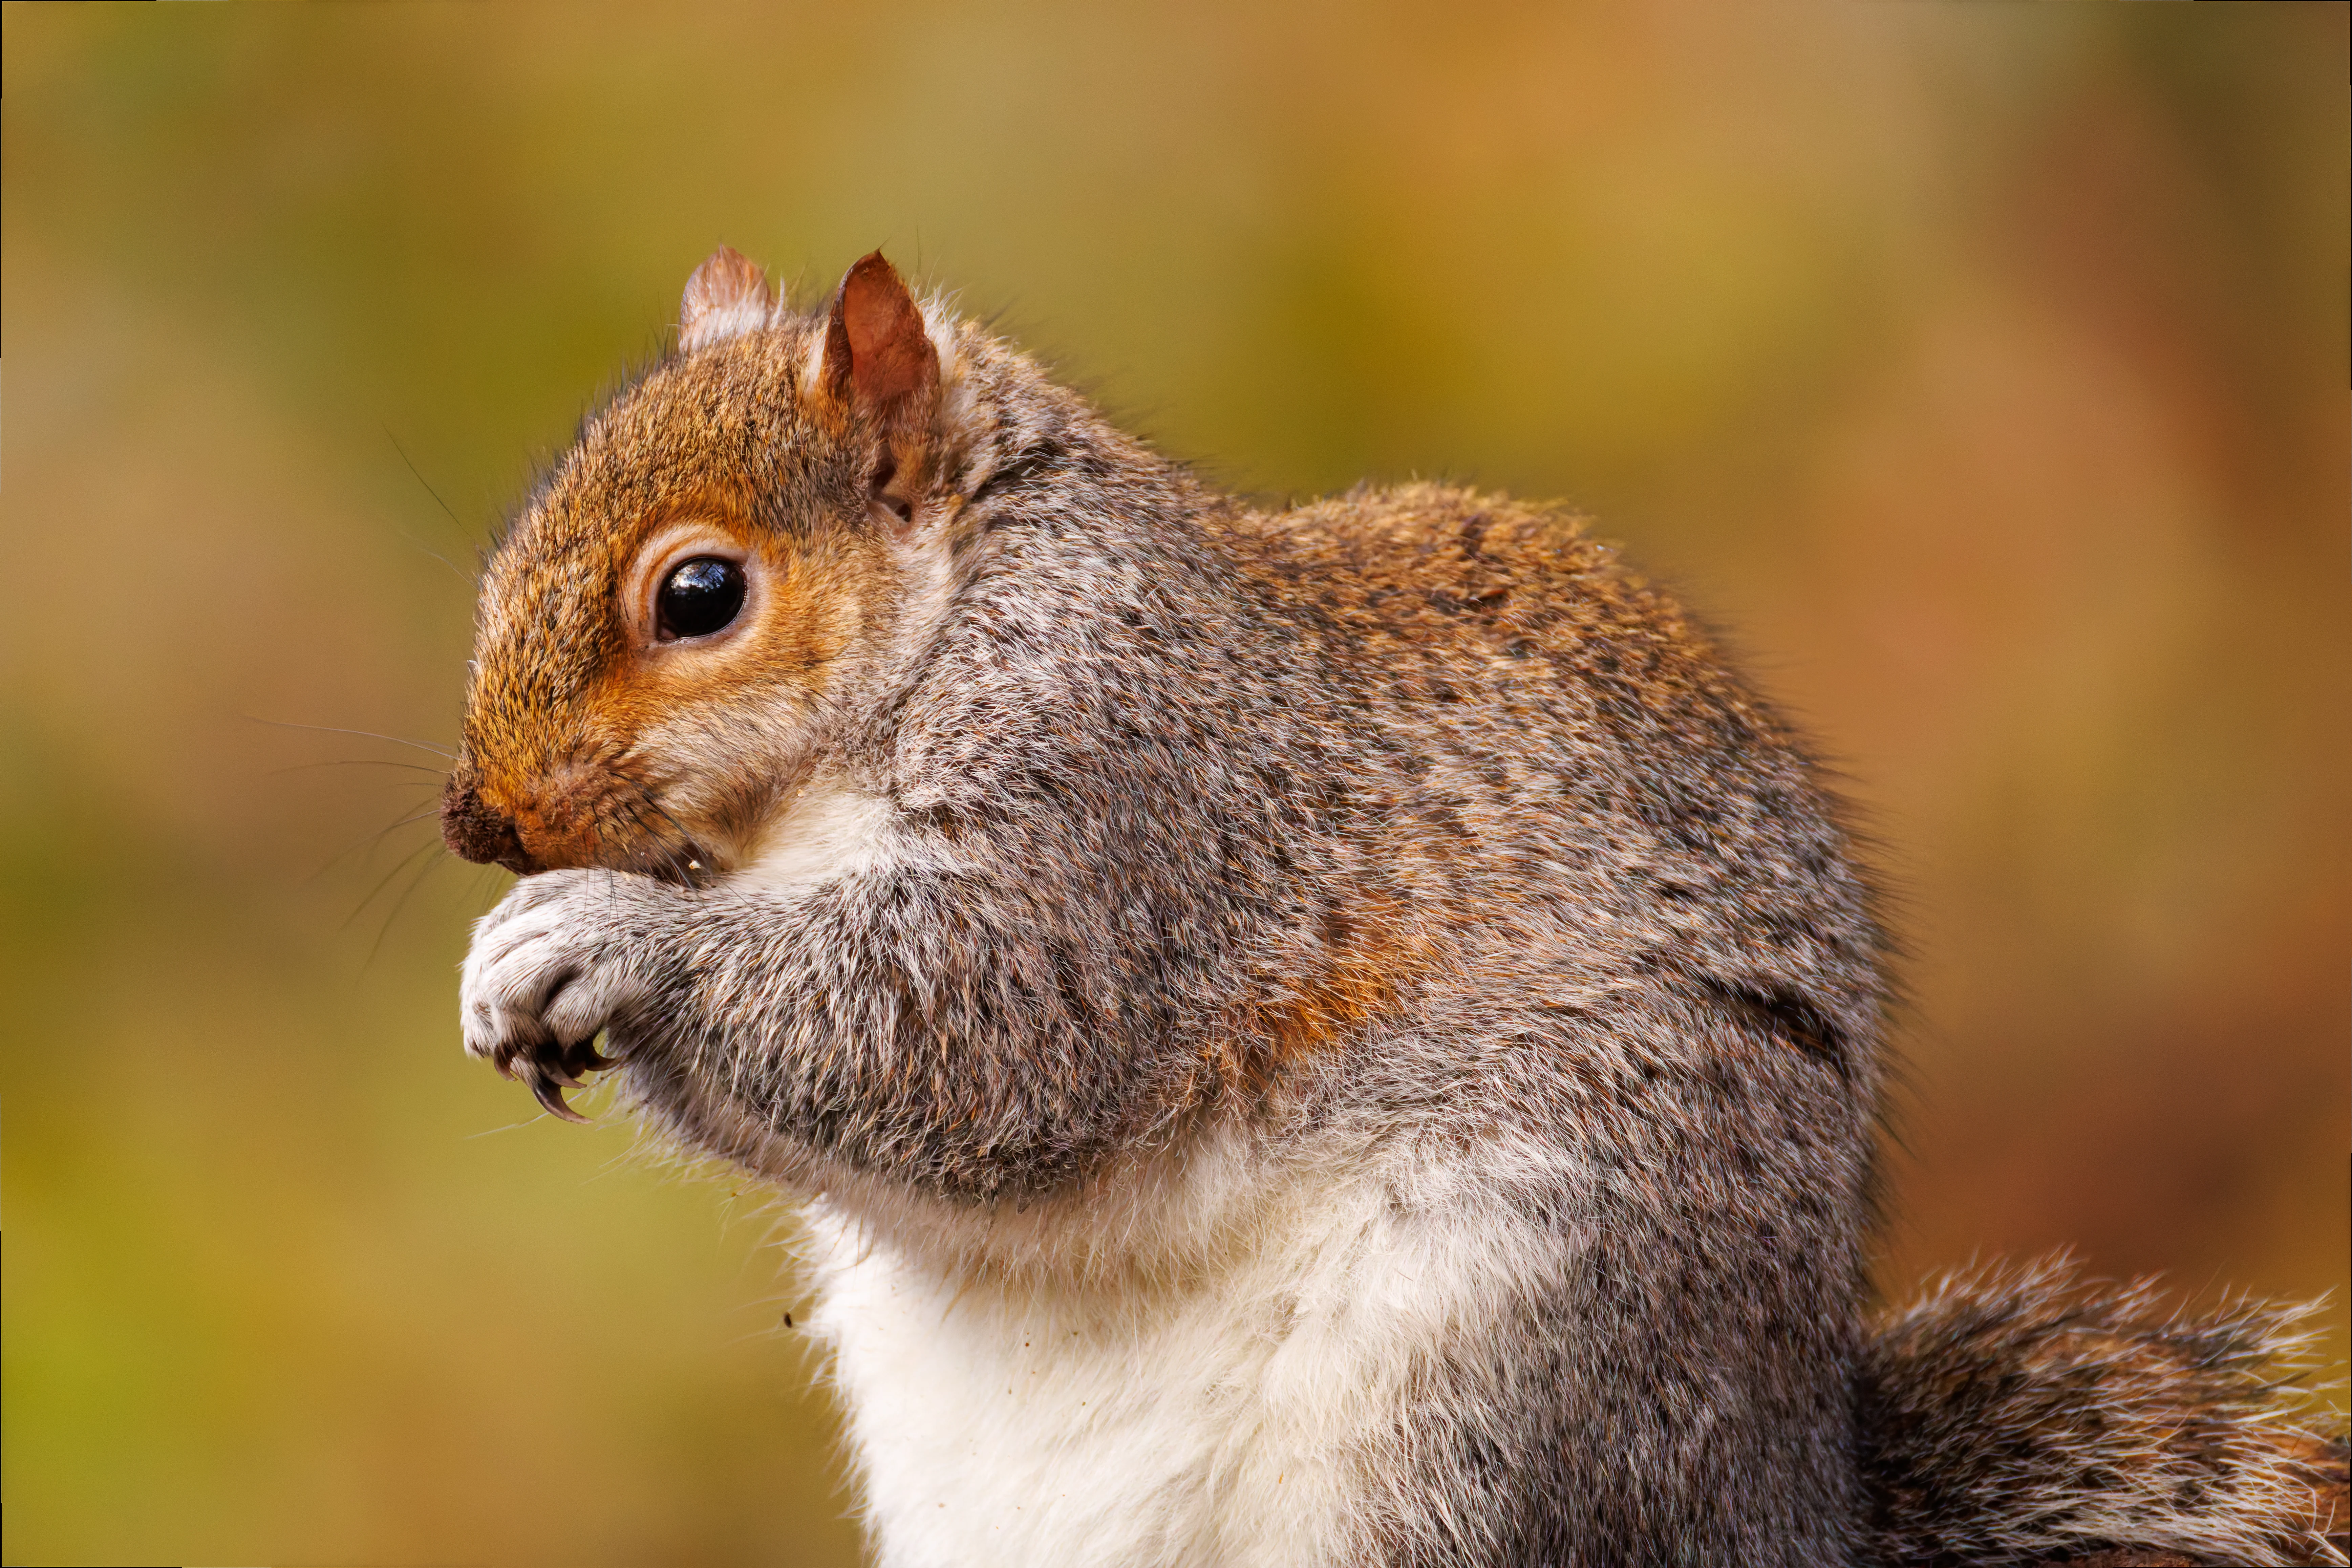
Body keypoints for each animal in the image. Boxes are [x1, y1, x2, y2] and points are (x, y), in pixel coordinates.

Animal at [442, 246, 2347, 1568]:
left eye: (702, 594)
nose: (481, 819)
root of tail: (1777, 1505)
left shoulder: (1133, 798)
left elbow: (994, 1035)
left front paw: (595, 939)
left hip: (1493, 1369)